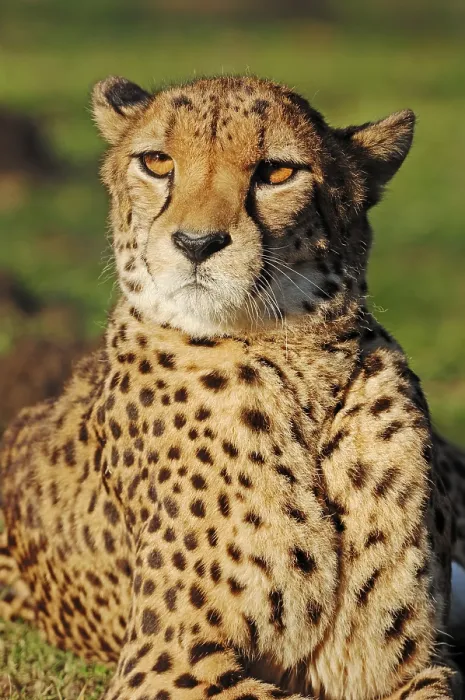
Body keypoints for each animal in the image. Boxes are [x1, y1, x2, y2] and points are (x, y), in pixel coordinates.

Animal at [1, 74, 464, 700]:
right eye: (157, 162)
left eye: (277, 172)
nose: (197, 243)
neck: (299, 370)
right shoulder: (163, 661)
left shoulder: (412, 663)